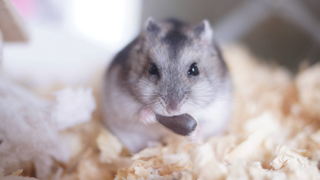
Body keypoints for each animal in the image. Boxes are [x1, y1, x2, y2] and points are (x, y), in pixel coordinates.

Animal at [102, 17, 232, 153]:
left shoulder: (217, 112)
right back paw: (151, 145)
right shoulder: (121, 103)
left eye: (195, 69)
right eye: (152, 69)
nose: (171, 110)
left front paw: (194, 133)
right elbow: (137, 113)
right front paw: (149, 114)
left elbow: (207, 126)